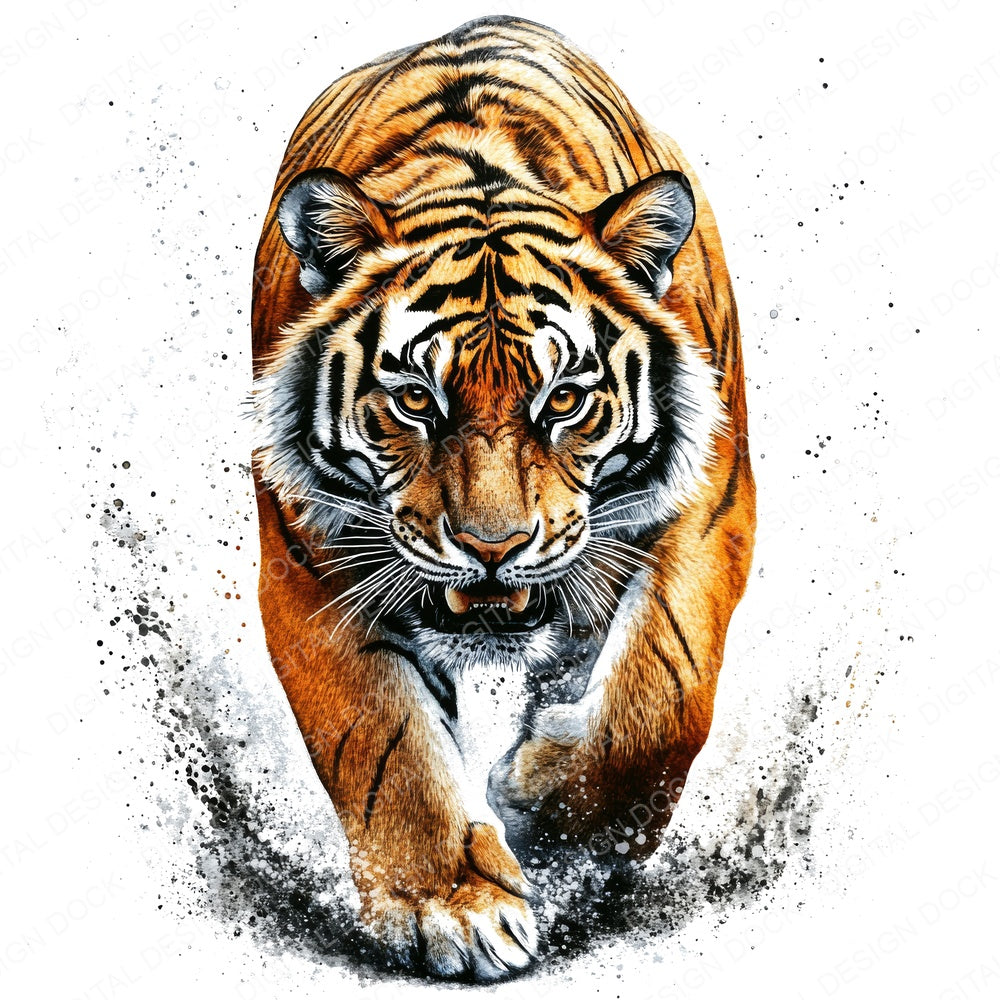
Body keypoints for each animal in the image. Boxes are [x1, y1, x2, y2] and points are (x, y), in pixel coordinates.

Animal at [251, 14, 755, 981]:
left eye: (563, 400)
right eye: (416, 399)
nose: (493, 548)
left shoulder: (709, 506)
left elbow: (663, 695)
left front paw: (551, 814)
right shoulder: (309, 563)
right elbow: (385, 740)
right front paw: (453, 906)